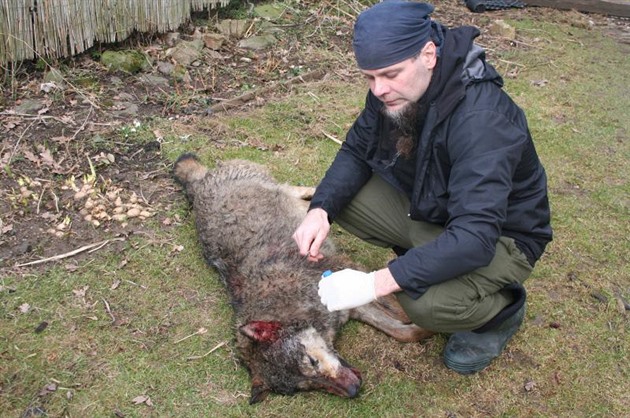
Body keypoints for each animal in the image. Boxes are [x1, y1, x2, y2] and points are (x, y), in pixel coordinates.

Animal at [173, 154, 432, 404]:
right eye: (306, 387)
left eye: (311, 361)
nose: (353, 390)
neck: (291, 303)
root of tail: (199, 185)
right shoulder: (352, 308)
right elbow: (404, 332)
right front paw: (422, 329)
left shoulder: (348, 274)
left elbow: (401, 311)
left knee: (292, 188)